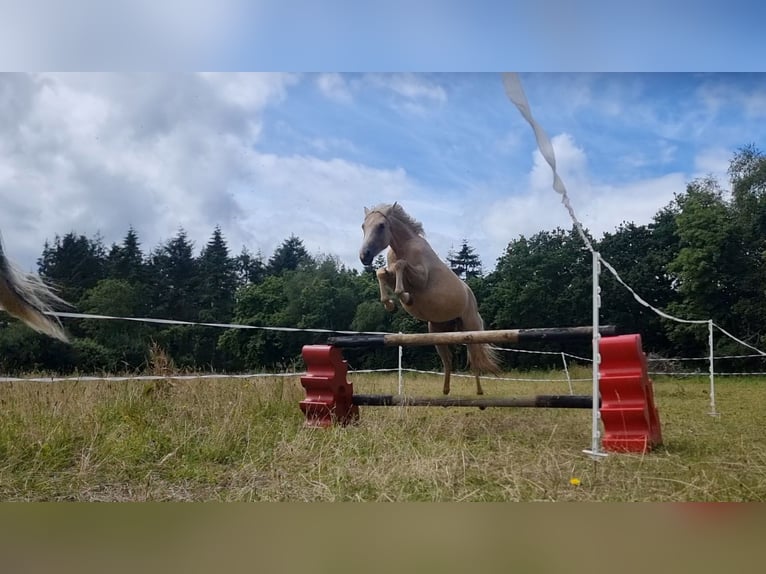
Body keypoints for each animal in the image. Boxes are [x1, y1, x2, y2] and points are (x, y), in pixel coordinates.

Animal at [362, 202, 500, 396]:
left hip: (470, 329)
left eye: (381, 225)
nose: (364, 256)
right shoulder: (390, 274)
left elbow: (401, 266)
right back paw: (445, 392)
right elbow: (381, 272)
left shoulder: (421, 278)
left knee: (474, 359)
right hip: (438, 333)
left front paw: (405, 297)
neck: (403, 246)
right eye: (363, 226)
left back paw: (479, 393)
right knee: (448, 361)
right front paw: (390, 304)